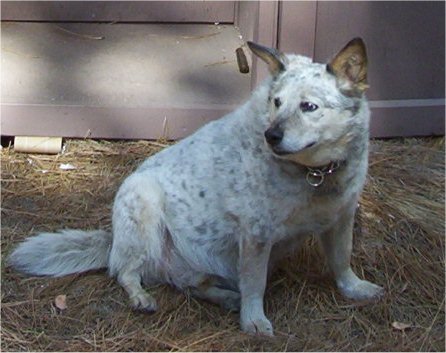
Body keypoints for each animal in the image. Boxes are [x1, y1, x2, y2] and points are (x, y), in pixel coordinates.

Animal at [7, 37, 384, 334]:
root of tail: (111, 238)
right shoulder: (256, 233)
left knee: (193, 285)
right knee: (125, 271)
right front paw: (254, 321)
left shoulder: (341, 218)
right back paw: (142, 297)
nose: (271, 135)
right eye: (277, 102)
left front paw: (354, 289)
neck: (316, 174)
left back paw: (225, 297)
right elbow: (255, 283)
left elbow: (341, 260)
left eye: (309, 106)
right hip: (143, 202)